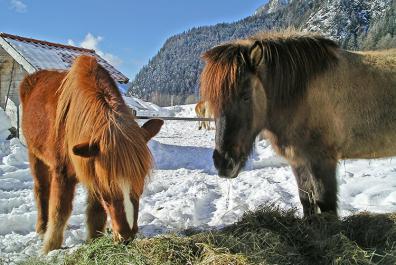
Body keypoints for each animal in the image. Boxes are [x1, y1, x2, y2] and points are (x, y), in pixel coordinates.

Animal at [19, 55, 162, 252]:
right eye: (108, 196)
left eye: (140, 189)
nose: (126, 237)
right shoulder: (63, 173)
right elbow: (59, 210)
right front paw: (50, 248)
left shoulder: (94, 169)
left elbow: (95, 212)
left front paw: (94, 241)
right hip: (35, 155)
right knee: (41, 189)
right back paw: (42, 228)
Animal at [201, 31, 396, 217]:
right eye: (213, 101)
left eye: (246, 95)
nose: (224, 163)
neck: (300, 96)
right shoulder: (298, 161)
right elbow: (306, 201)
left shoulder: (323, 161)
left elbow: (327, 206)